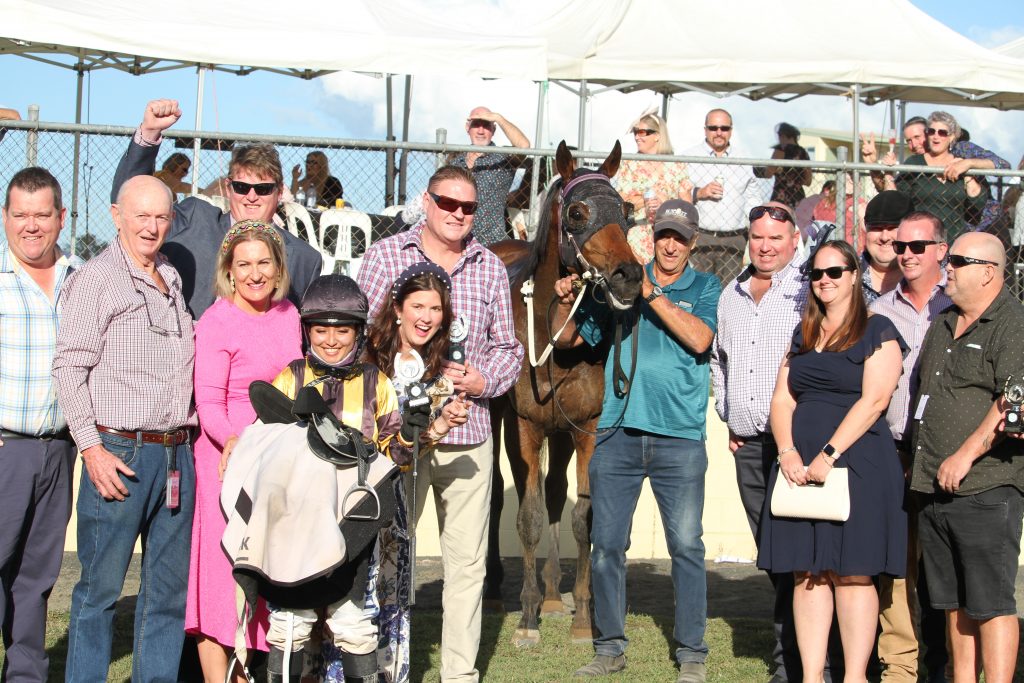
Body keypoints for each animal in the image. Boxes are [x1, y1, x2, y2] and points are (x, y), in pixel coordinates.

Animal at [485, 140, 638, 647]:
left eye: (627, 211)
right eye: (577, 211)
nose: (629, 275)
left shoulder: (586, 426)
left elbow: (582, 518)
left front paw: (583, 619)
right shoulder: (526, 427)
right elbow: (528, 516)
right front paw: (527, 619)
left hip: (562, 430)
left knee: (554, 492)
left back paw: (554, 595)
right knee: (501, 495)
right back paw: (499, 591)